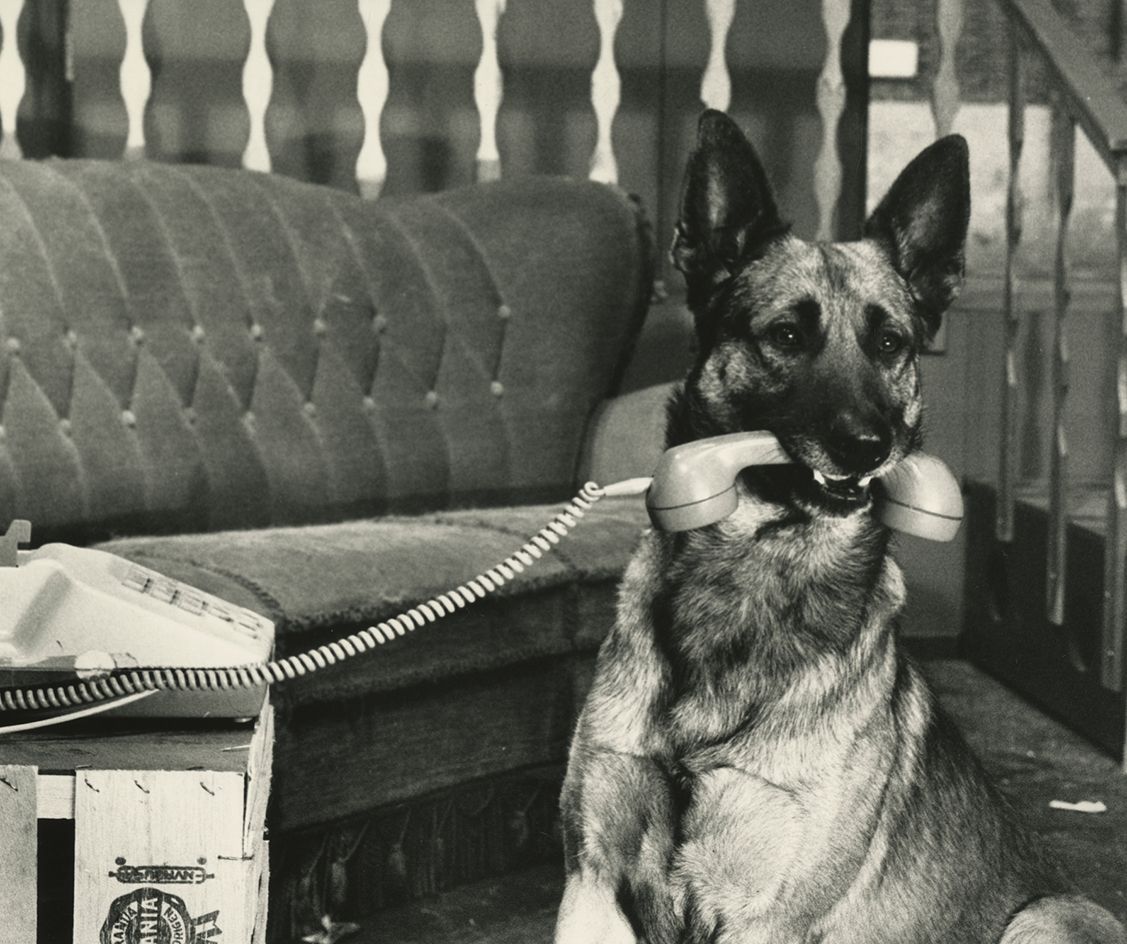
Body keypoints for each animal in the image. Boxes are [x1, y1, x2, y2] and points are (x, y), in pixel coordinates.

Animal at [556, 112, 1127, 944]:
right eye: (786, 338)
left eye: (889, 344)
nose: (868, 446)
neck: (754, 579)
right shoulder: (592, 887)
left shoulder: (766, 920)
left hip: (1047, 916)